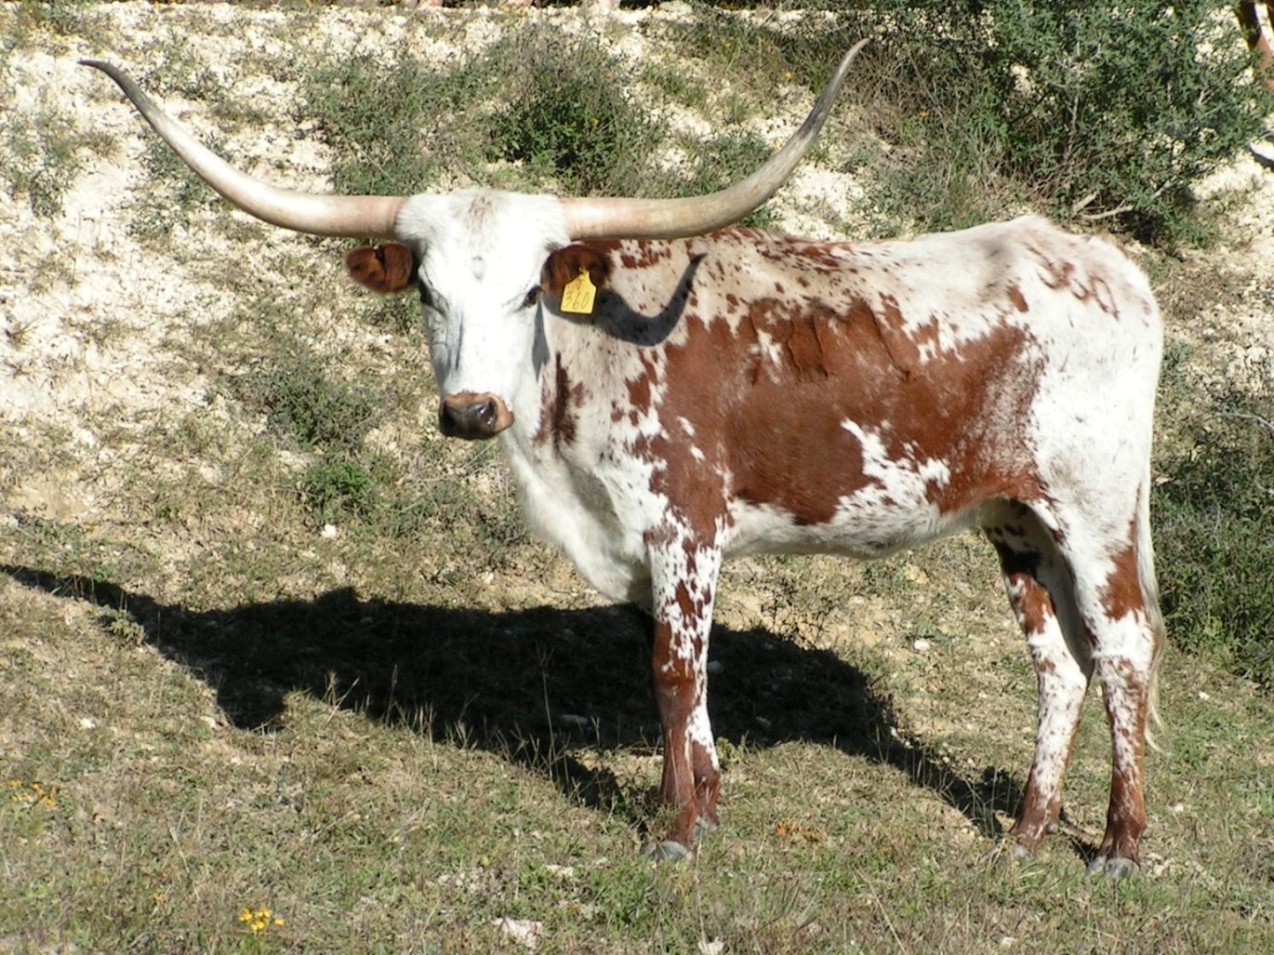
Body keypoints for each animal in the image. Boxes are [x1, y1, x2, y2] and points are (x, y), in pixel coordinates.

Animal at [82, 42, 1164, 878]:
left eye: (528, 290)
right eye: (428, 291)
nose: (471, 409)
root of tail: (1102, 263)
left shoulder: (683, 521)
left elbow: (674, 668)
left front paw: (677, 832)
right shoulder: (636, 538)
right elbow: (676, 672)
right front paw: (695, 803)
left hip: (1095, 511)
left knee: (1121, 649)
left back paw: (1118, 845)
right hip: (1018, 523)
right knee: (1059, 665)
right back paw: (1026, 831)